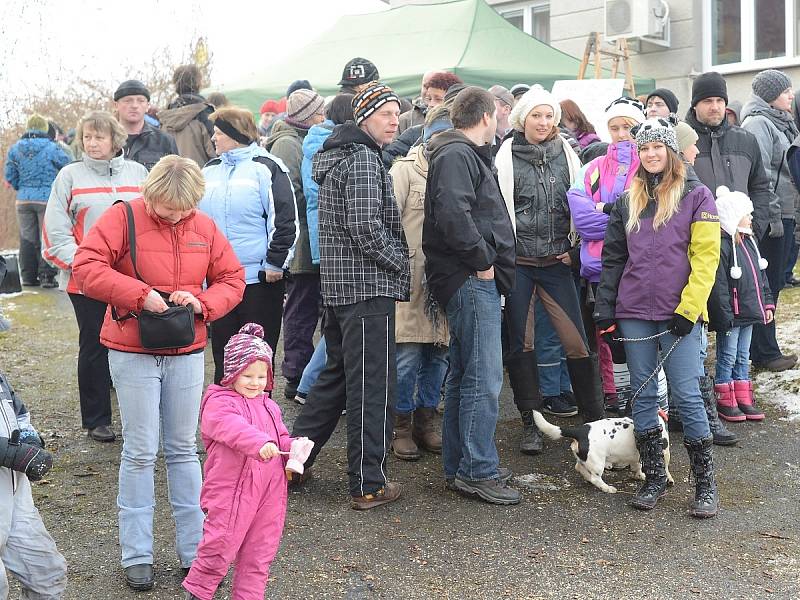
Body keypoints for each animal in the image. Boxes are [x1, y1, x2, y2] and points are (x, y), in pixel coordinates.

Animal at [536, 410, 672, 494]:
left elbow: (637, 467)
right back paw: (607, 488)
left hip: (586, 459)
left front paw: (639, 475)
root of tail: (580, 431)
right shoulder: (664, 452)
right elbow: (665, 467)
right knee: (595, 478)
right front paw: (668, 479)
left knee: (579, 468)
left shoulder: (636, 456)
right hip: (598, 463)